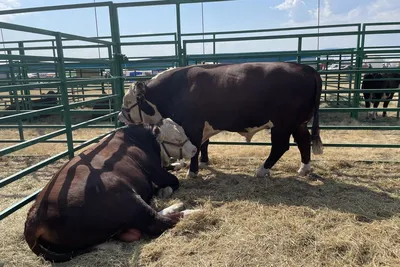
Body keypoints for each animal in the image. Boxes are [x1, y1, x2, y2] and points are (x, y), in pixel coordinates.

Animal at [23, 120, 198, 264]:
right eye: (175, 138)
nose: (194, 149)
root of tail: (34, 217)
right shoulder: (156, 171)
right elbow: (173, 180)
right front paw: (165, 190)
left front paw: (177, 165)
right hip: (122, 193)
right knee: (155, 222)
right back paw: (190, 211)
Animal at [117, 62, 324, 179]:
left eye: (127, 101)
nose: (120, 116)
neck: (174, 89)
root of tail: (306, 68)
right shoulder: (202, 125)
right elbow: (203, 144)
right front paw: (203, 162)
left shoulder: (193, 125)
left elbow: (195, 146)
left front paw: (192, 171)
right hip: (298, 123)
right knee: (303, 141)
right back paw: (304, 169)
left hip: (282, 124)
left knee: (280, 146)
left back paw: (261, 170)